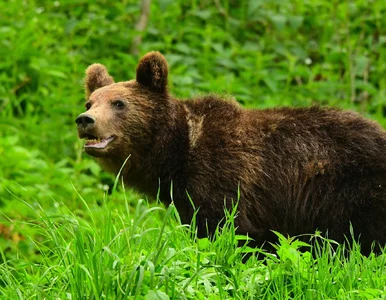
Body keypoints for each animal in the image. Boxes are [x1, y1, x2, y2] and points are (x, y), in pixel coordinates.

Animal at [76, 50, 386, 254]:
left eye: (119, 103)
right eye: (90, 102)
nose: (85, 120)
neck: (178, 152)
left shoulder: (224, 176)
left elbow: (232, 232)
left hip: (355, 188)